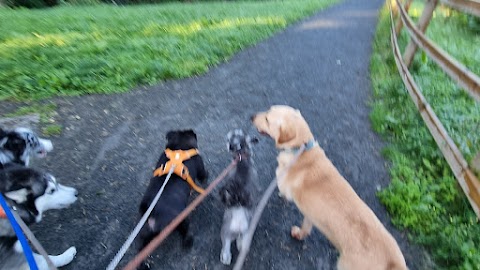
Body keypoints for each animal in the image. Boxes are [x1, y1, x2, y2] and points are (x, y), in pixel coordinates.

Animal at [137, 130, 208, 268]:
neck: (179, 149)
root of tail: (154, 214)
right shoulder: (200, 166)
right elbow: (204, 176)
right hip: (182, 220)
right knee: (186, 231)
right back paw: (188, 242)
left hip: (146, 232)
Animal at [219, 129, 260, 266]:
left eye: (230, 137)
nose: (227, 143)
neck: (242, 157)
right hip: (246, 231)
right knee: (240, 241)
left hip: (226, 231)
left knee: (226, 245)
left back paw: (225, 258)